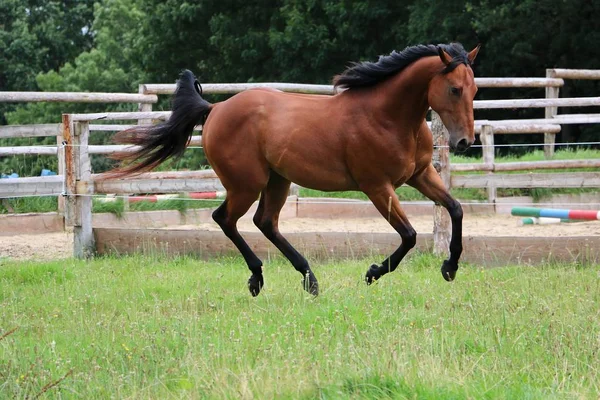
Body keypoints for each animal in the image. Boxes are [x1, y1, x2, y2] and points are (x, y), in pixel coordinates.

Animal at [111, 43, 478, 296]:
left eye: (474, 89)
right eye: (454, 89)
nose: (464, 142)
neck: (388, 116)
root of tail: (215, 108)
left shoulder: (421, 175)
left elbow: (455, 209)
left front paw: (450, 267)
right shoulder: (377, 186)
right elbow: (409, 235)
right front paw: (373, 272)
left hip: (277, 181)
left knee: (265, 222)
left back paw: (309, 279)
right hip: (246, 184)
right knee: (225, 219)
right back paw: (258, 278)